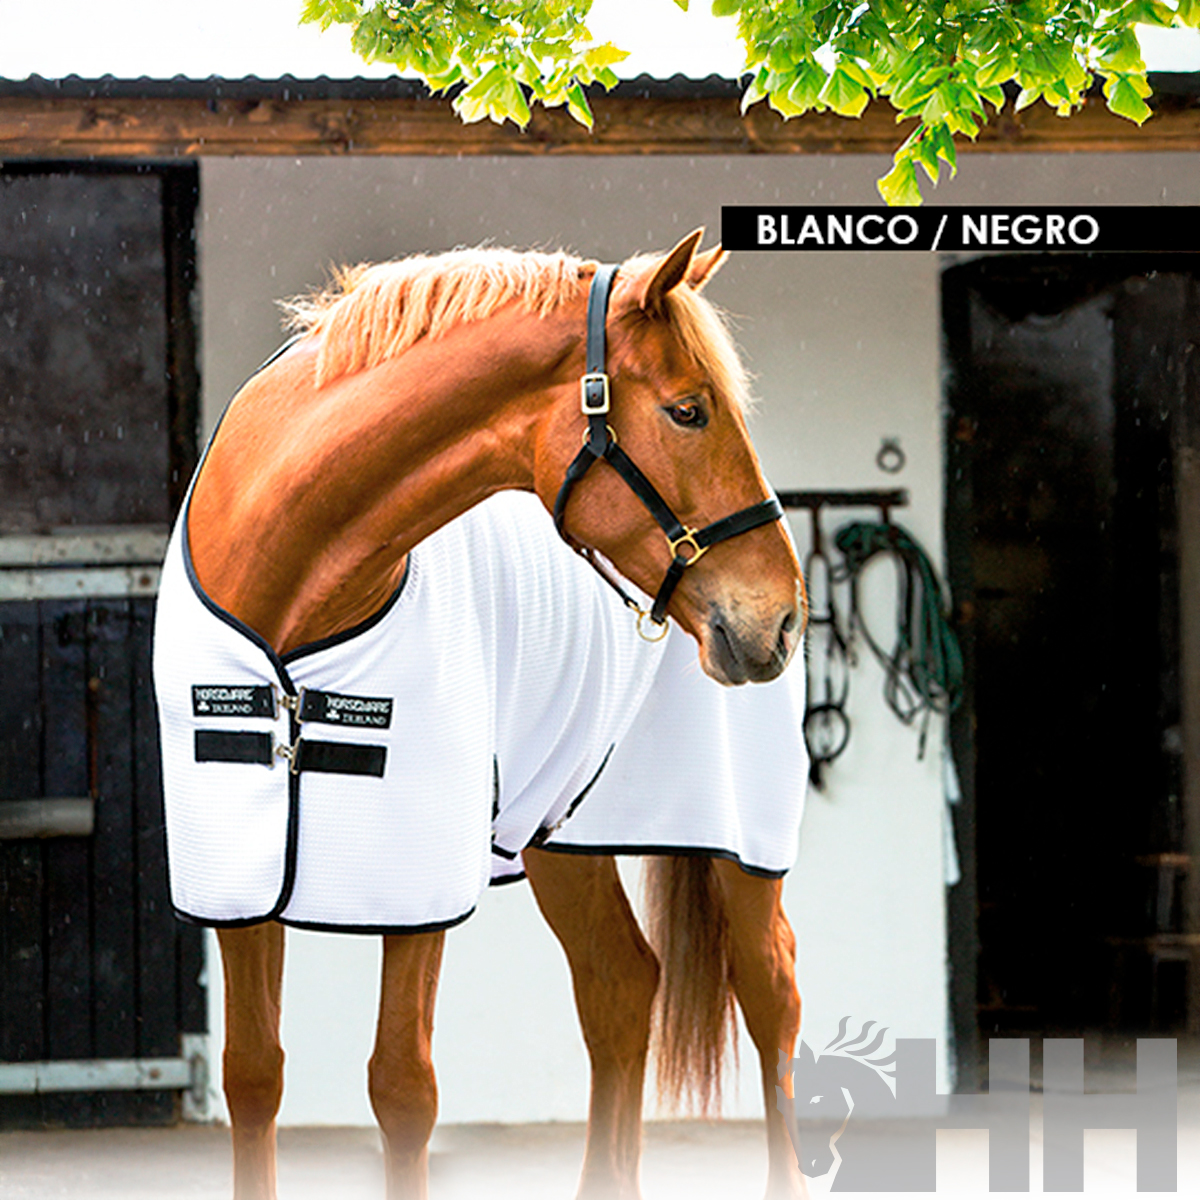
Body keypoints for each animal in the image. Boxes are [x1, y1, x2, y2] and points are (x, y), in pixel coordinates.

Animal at [158, 230, 806, 1200]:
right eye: (689, 411)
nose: (781, 616)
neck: (287, 588)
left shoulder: (417, 881)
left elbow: (402, 1089)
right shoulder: (241, 876)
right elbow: (254, 1076)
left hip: (739, 840)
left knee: (771, 996)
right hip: (561, 833)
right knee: (621, 988)